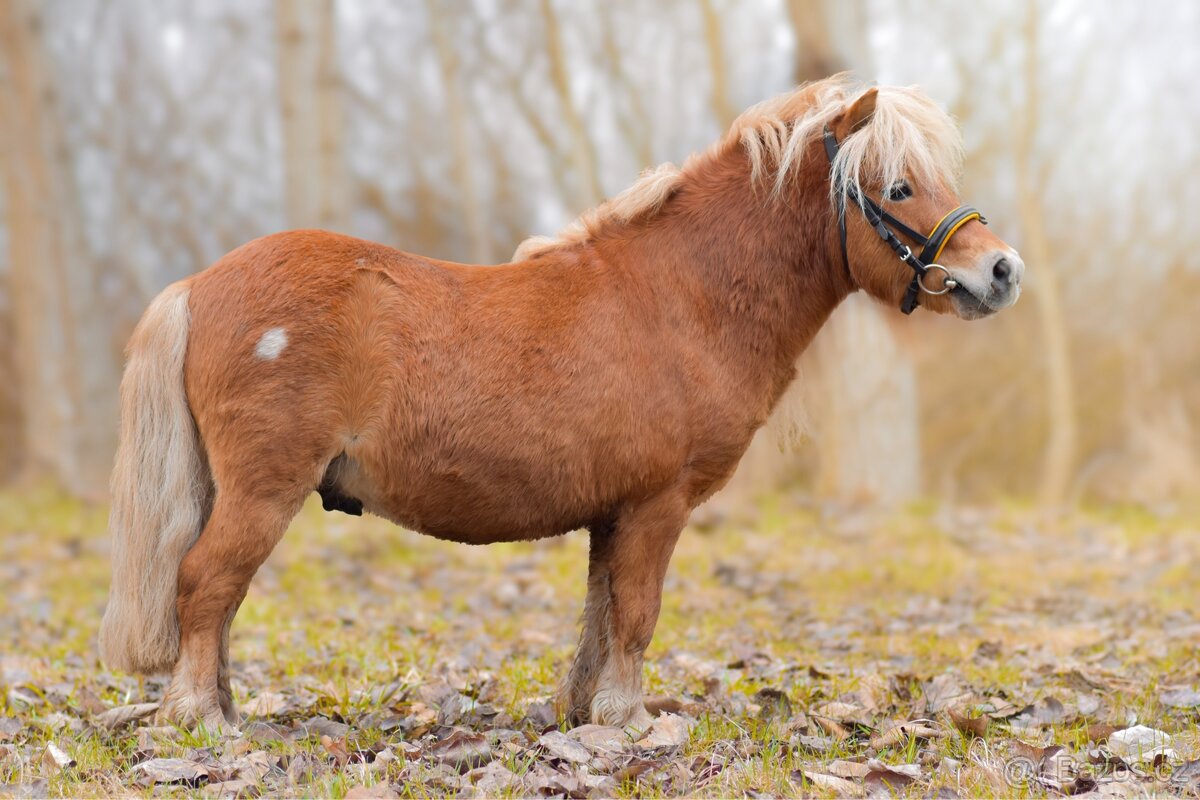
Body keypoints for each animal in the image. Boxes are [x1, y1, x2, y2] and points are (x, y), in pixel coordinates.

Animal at [98, 76, 1024, 732]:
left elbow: (599, 616)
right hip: (265, 488)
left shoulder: (614, 513)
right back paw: (199, 718)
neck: (686, 294)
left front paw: (584, 713)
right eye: (898, 188)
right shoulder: (657, 506)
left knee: (216, 595)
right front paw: (630, 721)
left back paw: (221, 708)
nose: (1002, 270)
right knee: (205, 583)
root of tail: (200, 285)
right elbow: (638, 614)